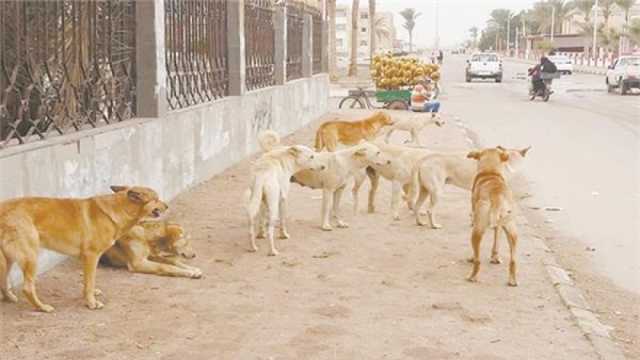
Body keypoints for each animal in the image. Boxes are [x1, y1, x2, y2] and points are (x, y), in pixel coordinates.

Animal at [0, 186, 168, 312]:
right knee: (27, 288)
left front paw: (89, 296)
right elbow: (90, 281)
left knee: (3, 280)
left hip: (8, 259)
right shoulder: (91, 256)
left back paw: (9, 298)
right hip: (30, 257)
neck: (120, 208)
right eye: (156, 199)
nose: (167, 206)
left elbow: (87, 282)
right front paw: (91, 303)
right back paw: (42, 307)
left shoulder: (86, 259)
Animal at [464, 147, 520, 286]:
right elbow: (496, 242)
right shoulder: (499, 227)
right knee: (513, 260)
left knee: (477, 259)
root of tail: (497, 195)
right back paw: (512, 280)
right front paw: (495, 257)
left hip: (477, 231)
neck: (490, 172)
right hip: (512, 231)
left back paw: (472, 276)